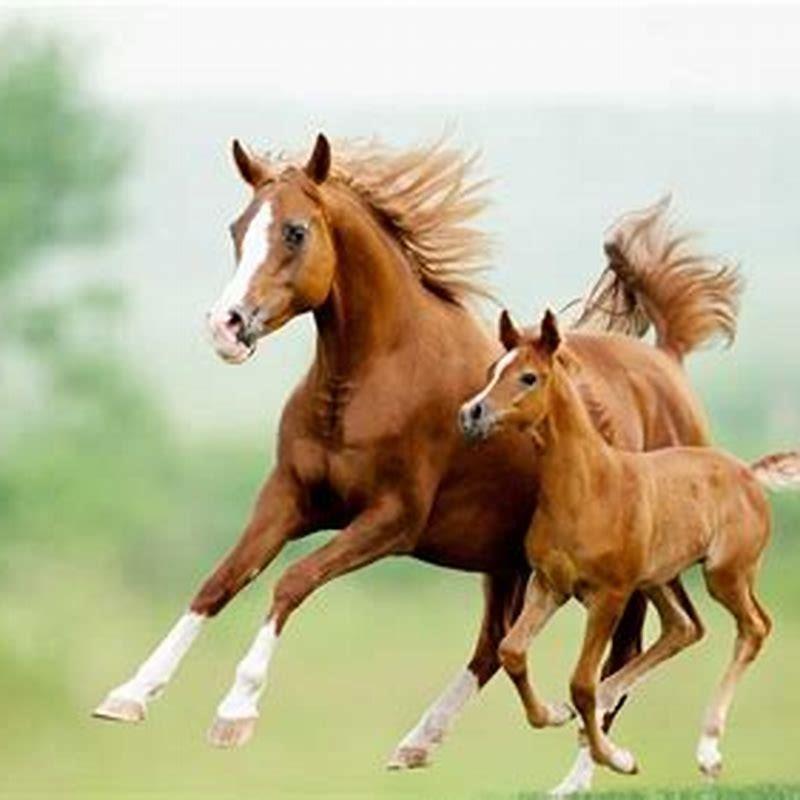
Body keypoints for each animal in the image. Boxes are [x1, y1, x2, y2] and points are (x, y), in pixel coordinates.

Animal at [92, 133, 740, 794]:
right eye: (238, 228)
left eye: (295, 231)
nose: (225, 327)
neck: (371, 379)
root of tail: (668, 363)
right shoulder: (289, 498)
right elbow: (220, 582)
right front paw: (130, 693)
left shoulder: (392, 520)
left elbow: (291, 581)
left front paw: (235, 711)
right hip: (506, 560)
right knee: (495, 645)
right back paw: (421, 740)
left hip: (623, 573)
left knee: (624, 652)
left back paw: (583, 773)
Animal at [460, 307, 798, 781]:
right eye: (493, 370)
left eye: (528, 377)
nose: (471, 413)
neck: (588, 488)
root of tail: (748, 473)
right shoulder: (549, 586)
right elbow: (512, 651)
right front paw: (554, 714)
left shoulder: (609, 595)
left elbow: (580, 682)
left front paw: (617, 758)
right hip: (657, 578)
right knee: (683, 627)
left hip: (724, 574)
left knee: (754, 627)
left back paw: (708, 750)